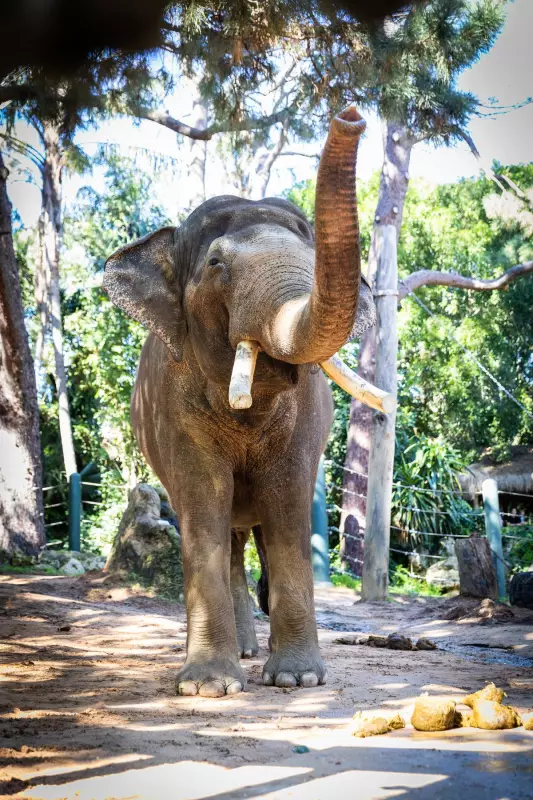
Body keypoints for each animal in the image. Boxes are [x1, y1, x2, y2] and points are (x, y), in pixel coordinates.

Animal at [103, 106, 375, 698]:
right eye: (215, 265)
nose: (350, 115)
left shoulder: (302, 423)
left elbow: (288, 502)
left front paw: (298, 679)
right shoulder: (176, 407)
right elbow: (204, 500)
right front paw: (208, 688)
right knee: (227, 537)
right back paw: (244, 652)